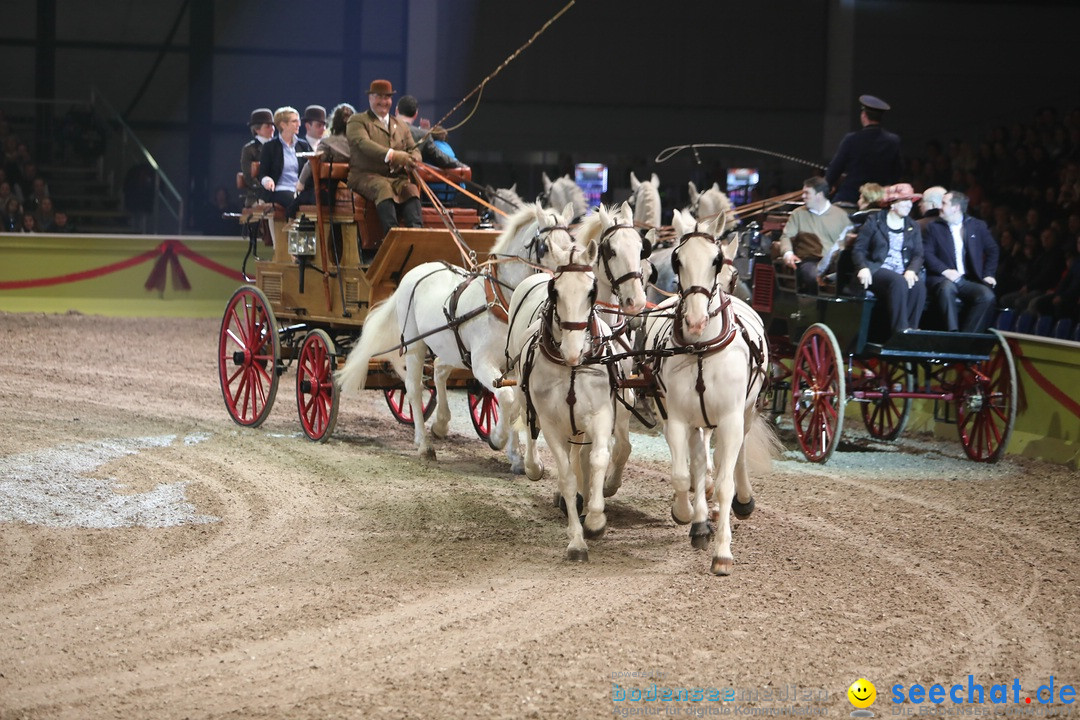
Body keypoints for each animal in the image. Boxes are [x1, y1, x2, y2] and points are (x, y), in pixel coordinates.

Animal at [336, 202, 578, 472]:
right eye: (545, 247)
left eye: (572, 243)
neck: (501, 304)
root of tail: (415, 272)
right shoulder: (482, 364)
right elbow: (506, 398)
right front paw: (497, 439)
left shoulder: (514, 368)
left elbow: (515, 404)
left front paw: (515, 456)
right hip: (415, 345)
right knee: (414, 388)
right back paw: (424, 444)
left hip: (451, 348)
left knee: (439, 369)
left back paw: (441, 424)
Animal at [505, 239, 617, 561]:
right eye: (554, 291)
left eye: (592, 290)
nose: (572, 350)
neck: (571, 367)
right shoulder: (552, 424)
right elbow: (566, 477)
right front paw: (577, 540)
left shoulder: (600, 416)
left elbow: (597, 459)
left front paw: (595, 520)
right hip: (529, 402)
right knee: (530, 429)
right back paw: (533, 466)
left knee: (579, 453)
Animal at [635, 208, 781, 574]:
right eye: (677, 259)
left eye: (717, 261)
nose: (696, 320)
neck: (701, 348)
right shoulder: (677, 419)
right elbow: (681, 474)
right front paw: (689, 515)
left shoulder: (730, 419)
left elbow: (726, 481)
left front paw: (723, 553)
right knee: (699, 461)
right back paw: (700, 519)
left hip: (745, 412)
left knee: (735, 455)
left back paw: (742, 500)